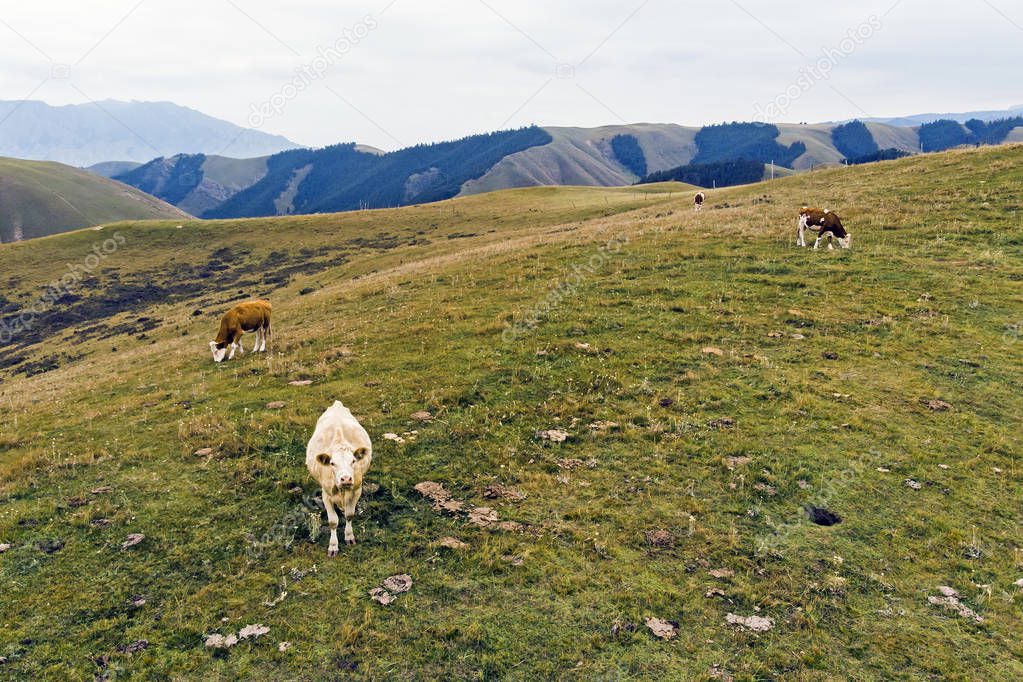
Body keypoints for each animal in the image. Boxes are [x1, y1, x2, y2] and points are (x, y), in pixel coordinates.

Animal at [304, 400, 374, 556]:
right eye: (332, 463)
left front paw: (349, 537)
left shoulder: (357, 489)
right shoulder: (326, 494)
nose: (346, 479)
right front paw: (333, 546)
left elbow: (349, 514)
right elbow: (333, 522)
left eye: (353, 461)